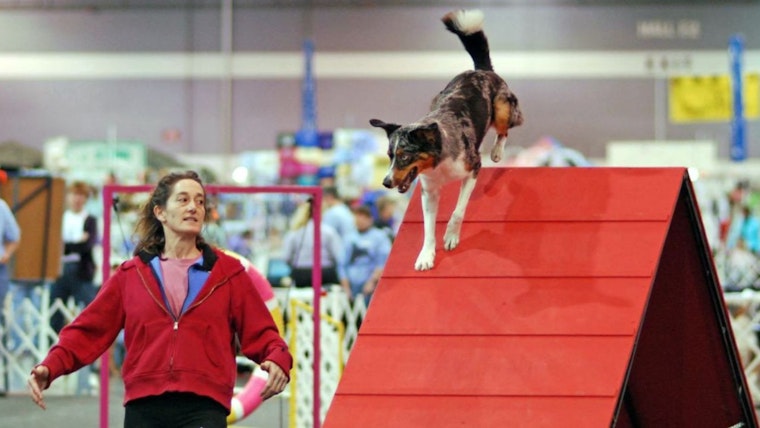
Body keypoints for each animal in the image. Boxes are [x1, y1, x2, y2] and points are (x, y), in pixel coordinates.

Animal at [372, 8, 524, 270]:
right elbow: (428, 228)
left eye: (404, 156)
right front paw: (426, 255)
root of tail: (481, 70)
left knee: (505, 128)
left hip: (503, 108)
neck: (438, 162)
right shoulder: (428, 192)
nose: (386, 182)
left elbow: (457, 212)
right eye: (390, 157)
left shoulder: (473, 169)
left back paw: (497, 152)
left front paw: (451, 237)